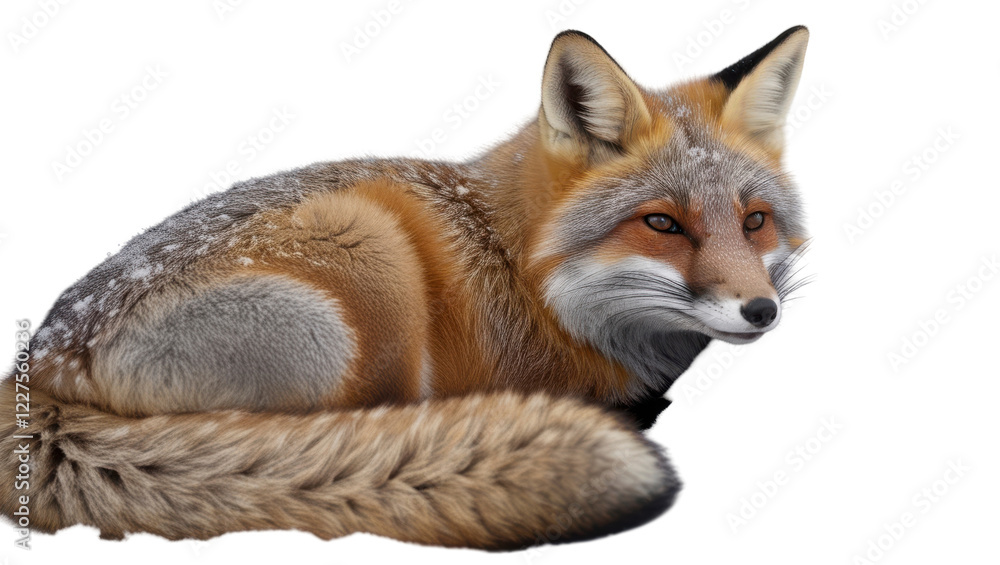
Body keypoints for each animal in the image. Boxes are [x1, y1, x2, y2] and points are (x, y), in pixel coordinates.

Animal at [2, 26, 810, 549]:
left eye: (755, 221)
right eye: (662, 223)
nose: (761, 310)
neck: (525, 271)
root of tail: (40, 372)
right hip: (369, 254)